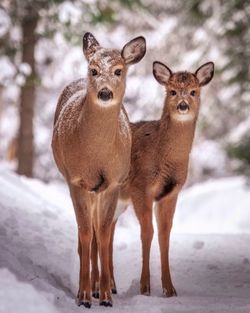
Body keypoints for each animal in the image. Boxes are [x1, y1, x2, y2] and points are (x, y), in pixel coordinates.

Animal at [51, 32, 146, 308]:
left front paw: (104, 295)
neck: (96, 156)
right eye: (93, 70)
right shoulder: (76, 180)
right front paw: (83, 295)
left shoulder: (113, 182)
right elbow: (85, 233)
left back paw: (107, 285)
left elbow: (103, 235)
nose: (104, 92)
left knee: (104, 232)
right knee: (88, 233)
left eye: (118, 70)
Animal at [116, 61, 213, 298]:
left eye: (194, 91)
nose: (183, 106)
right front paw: (144, 287)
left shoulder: (171, 193)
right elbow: (147, 232)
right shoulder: (140, 187)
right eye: (172, 91)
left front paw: (169, 288)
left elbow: (164, 234)